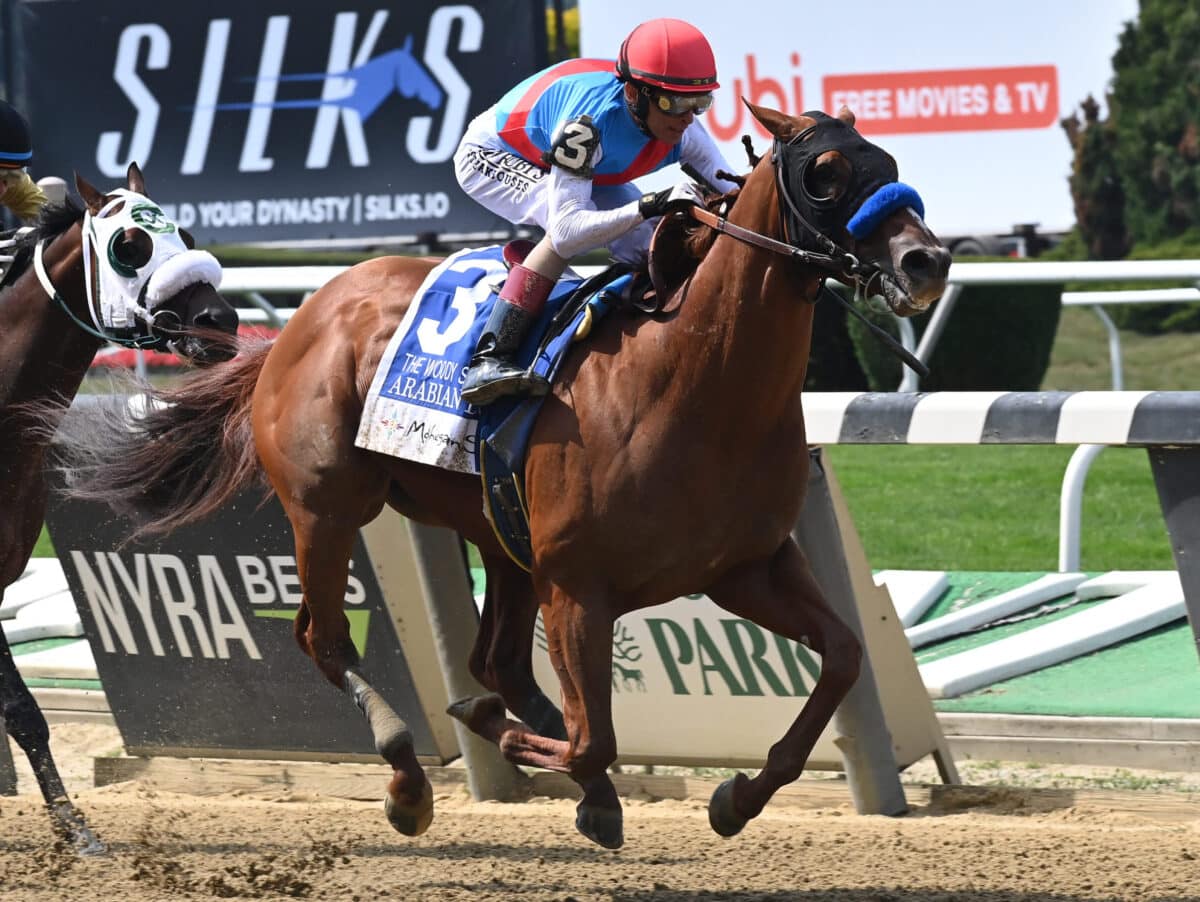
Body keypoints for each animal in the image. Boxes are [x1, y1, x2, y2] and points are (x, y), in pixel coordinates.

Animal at [49, 105, 945, 844]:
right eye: (824, 174)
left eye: (889, 158)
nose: (926, 260)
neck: (698, 378)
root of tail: (303, 318)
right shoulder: (580, 587)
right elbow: (591, 738)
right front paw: (501, 736)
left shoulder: (745, 566)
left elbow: (842, 657)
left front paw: (735, 798)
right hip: (329, 510)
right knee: (325, 637)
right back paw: (409, 778)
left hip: (498, 530)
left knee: (497, 661)